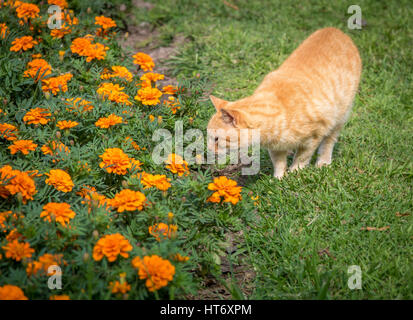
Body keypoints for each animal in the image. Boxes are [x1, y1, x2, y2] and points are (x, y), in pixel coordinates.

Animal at [208, 27, 358, 179]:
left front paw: (296, 172)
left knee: (329, 141)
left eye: (216, 139)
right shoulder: (275, 148)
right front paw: (279, 178)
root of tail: (334, 29)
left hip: (340, 116)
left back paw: (323, 162)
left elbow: (302, 157)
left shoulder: (314, 136)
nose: (207, 151)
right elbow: (279, 162)